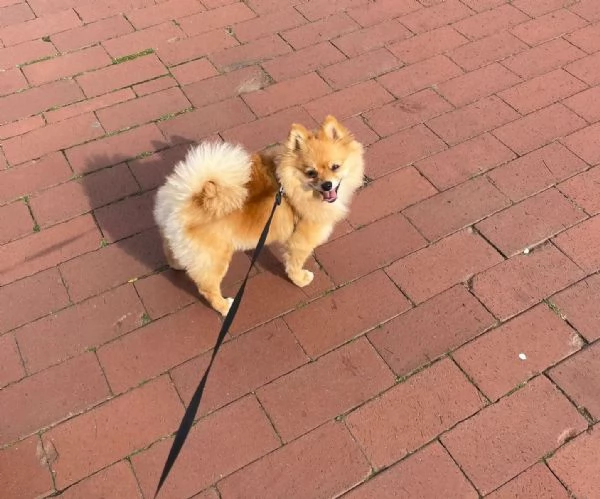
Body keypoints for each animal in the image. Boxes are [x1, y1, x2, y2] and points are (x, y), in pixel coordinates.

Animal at [154, 115, 365, 316]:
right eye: (311, 173)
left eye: (335, 167)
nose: (327, 185)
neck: (291, 185)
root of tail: (185, 198)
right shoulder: (300, 241)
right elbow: (294, 264)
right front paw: (300, 280)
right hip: (215, 257)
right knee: (207, 288)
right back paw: (224, 306)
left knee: (168, 249)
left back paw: (178, 265)